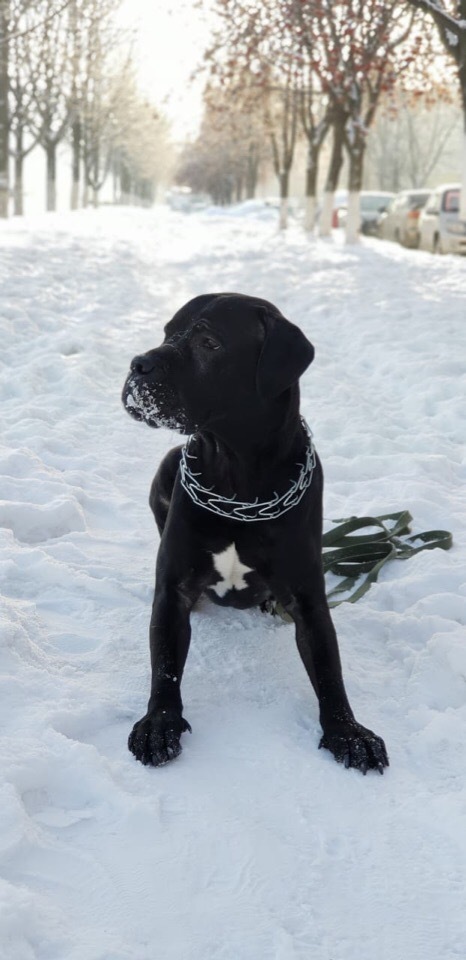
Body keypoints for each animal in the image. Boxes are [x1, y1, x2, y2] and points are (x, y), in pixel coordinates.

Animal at [122, 290, 388, 772]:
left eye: (208, 342)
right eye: (168, 332)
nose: (139, 364)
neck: (237, 482)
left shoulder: (307, 597)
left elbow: (328, 667)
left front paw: (348, 732)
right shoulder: (173, 587)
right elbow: (165, 663)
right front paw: (159, 723)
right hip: (166, 465)